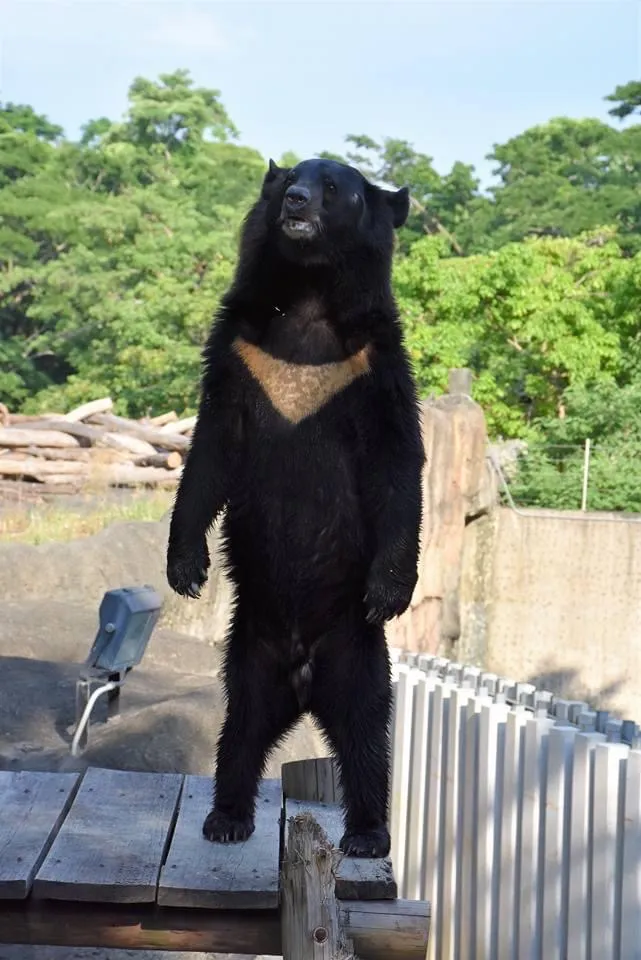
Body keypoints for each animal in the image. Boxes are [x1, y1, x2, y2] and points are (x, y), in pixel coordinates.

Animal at [166, 157, 425, 858]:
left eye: (336, 188)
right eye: (290, 181)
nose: (297, 201)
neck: (309, 294)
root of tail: (305, 688)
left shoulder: (373, 362)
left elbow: (398, 462)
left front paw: (391, 588)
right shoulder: (240, 350)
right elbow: (211, 448)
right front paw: (185, 567)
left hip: (358, 658)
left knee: (367, 738)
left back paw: (367, 831)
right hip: (248, 658)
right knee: (240, 732)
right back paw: (227, 816)